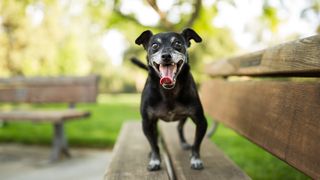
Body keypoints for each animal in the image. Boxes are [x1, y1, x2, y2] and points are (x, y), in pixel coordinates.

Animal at [132, 28, 208, 171]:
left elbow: (196, 144)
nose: (166, 56)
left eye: (177, 43)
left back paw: (184, 143)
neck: (169, 92)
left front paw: (195, 159)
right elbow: (154, 144)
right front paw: (155, 160)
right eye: (155, 45)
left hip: (184, 117)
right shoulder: (147, 123)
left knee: (179, 127)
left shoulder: (201, 121)